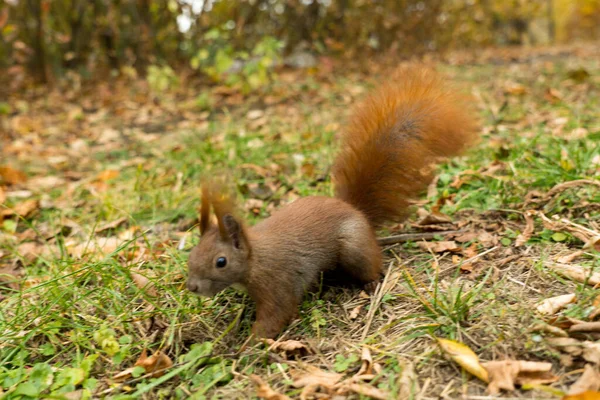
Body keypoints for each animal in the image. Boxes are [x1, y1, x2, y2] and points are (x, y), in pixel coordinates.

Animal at [185, 67, 480, 340]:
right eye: (192, 252)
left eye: (220, 262)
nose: (192, 287)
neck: (254, 259)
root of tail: (357, 212)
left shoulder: (276, 283)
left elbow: (276, 315)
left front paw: (250, 346)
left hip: (354, 248)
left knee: (370, 266)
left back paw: (371, 284)